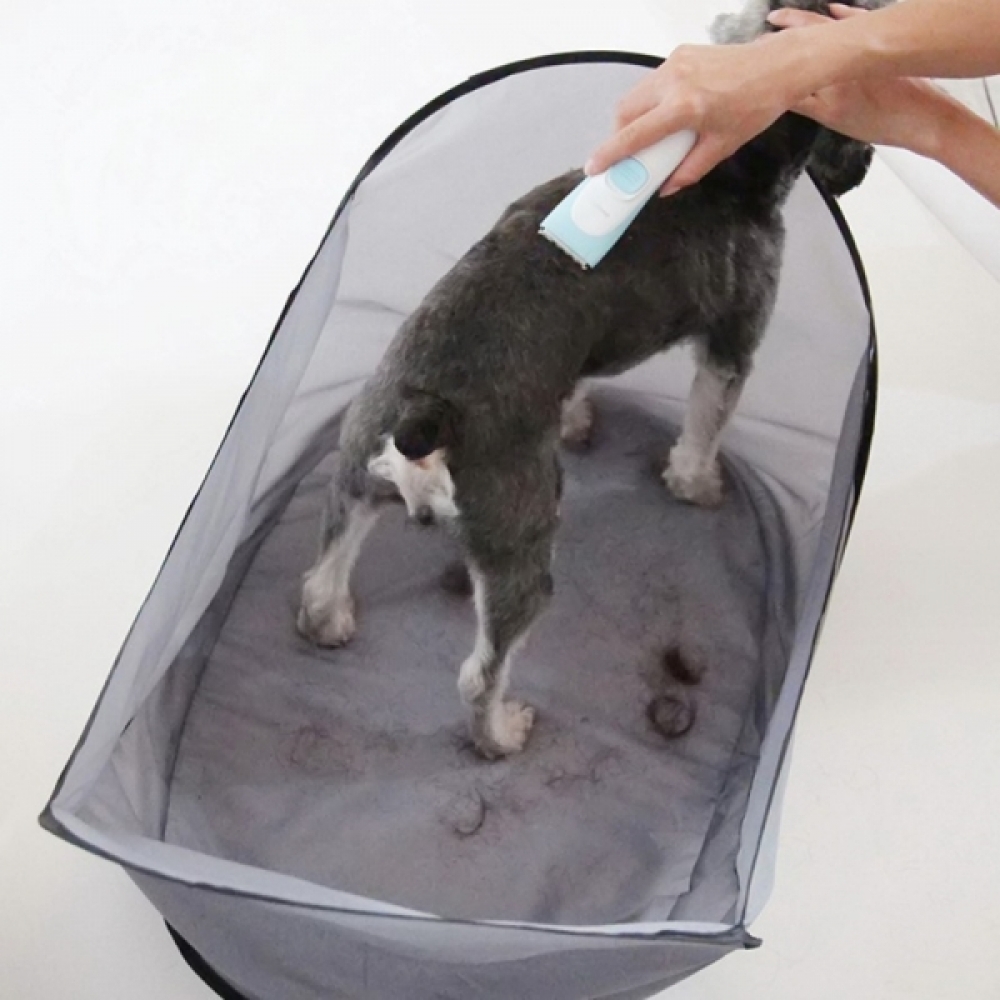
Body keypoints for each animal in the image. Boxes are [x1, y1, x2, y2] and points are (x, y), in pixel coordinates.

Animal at [297, 0, 879, 759]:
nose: (867, 161)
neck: (734, 163)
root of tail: (427, 415)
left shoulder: (586, 354)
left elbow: (577, 388)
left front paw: (575, 423)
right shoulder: (734, 341)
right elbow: (705, 426)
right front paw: (697, 484)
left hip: (355, 473)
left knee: (323, 570)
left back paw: (330, 619)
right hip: (521, 551)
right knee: (480, 675)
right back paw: (502, 733)